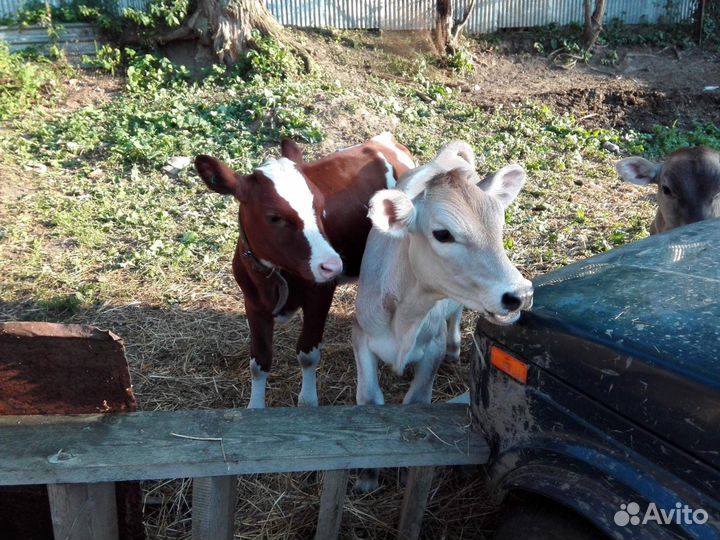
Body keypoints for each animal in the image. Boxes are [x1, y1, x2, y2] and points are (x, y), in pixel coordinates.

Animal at [195, 133, 415, 408]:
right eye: (274, 217)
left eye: (319, 205)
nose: (333, 264)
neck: (278, 275)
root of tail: (382, 142)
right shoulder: (253, 303)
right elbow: (259, 361)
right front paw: (255, 407)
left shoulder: (320, 295)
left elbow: (307, 354)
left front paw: (308, 402)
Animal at [352, 142, 533, 491]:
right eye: (442, 234)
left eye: (499, 228)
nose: (520, 294)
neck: (405, 316)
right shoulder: (361, 335)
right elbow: (368, 400)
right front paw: (367, 478)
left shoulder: (430, 347)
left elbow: (417, 402)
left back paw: (454, 346)